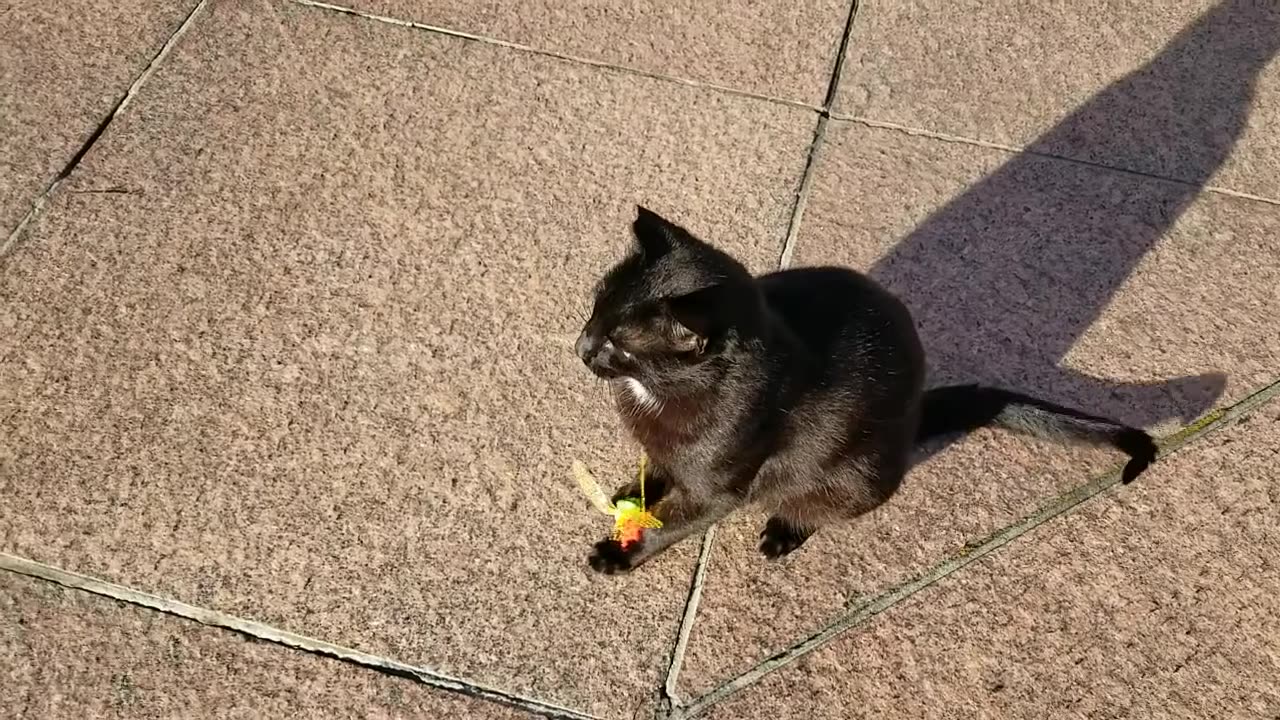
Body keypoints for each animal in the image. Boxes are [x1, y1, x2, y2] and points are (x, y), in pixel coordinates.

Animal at [576, 206, 1157, 571]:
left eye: (619, 346)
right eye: (595, 311)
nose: (581, 346)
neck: (656, 395)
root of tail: (916, 413)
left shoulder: (717, 490)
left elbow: (668, 525)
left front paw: (621, 553)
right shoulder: (665, 448)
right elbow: (654, 469)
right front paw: (633, 494)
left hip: (854, 478)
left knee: (818, 505)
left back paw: (784, 531)